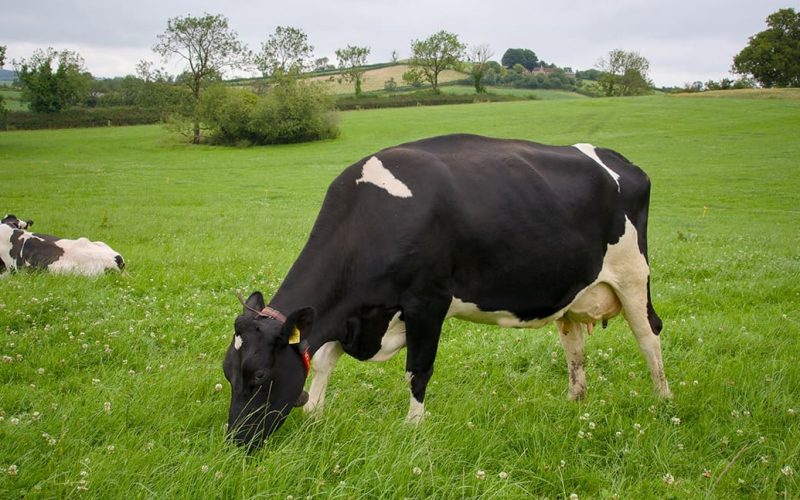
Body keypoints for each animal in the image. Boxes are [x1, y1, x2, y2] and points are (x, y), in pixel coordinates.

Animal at [224, 134, 671, 447]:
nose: (236, 442)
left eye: (259, 376)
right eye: (228, 372)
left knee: (649, 335)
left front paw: (413, 428)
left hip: (634, 276)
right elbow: (323, 360)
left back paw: (663, 402)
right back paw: (575, 401)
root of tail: (619, 160)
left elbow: (417, 371)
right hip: (572, 289)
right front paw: (315, 415)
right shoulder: (353, 314)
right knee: (574, 343)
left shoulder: (427, 303)